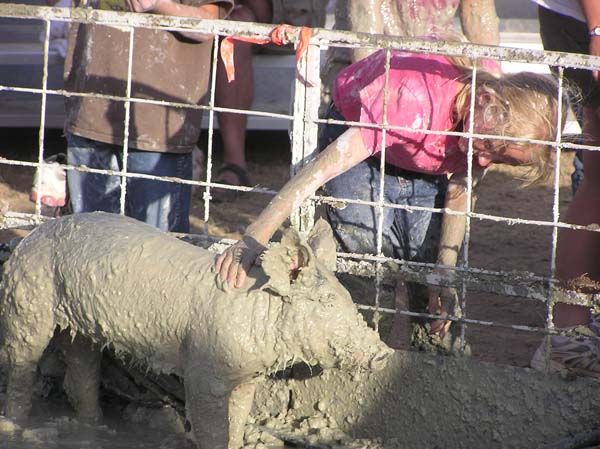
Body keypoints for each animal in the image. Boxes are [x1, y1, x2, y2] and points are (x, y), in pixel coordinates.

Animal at [0, 211, 392, 448]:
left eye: (348, 301)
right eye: (324, 303)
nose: (384, 354)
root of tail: (29, 234)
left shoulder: (246, 376)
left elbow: (237, 419)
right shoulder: (204, 370)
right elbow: (209, 425)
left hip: (80, 323)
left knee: (81, 366)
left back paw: (95, 428)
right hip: (27, 295)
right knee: (22, 360)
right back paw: (18, 426)